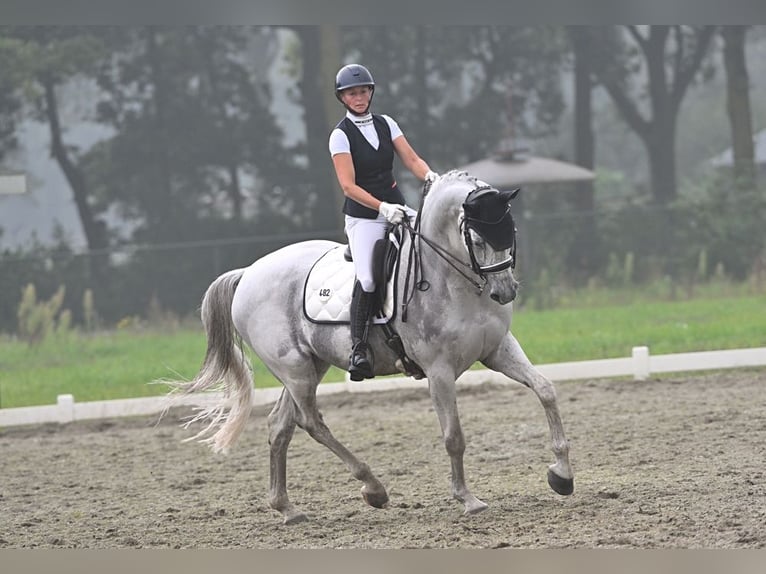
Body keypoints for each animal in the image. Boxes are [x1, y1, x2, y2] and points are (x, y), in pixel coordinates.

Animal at [168, 170, 576, 528]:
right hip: (295, 370)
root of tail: (248, 273)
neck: (453, 281)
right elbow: (453, 436)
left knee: (280, 425)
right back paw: (373, 488)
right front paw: (468, 499)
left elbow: (545, 390)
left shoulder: (498, 350)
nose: (504, 291)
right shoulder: (439, 371)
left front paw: (562, 475)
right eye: (475, 239)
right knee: (311, 422)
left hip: (308, 367)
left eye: (511, 231)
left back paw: (287, 509)